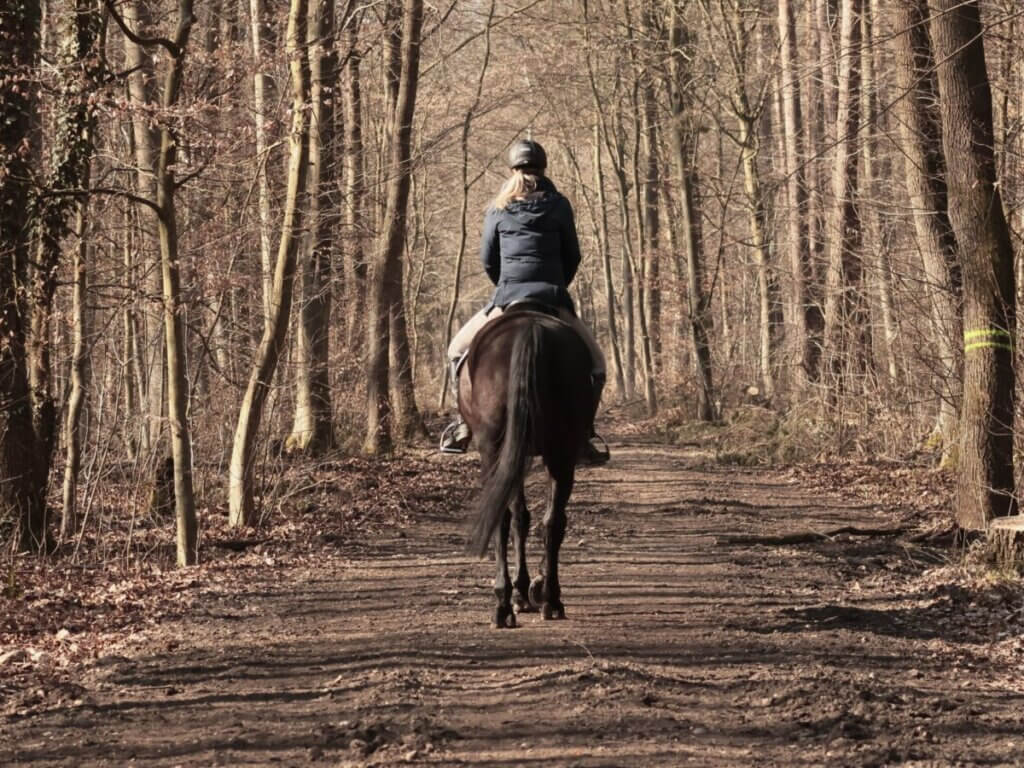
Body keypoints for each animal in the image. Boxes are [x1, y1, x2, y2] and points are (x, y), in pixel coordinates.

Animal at [460, 303, 596, 628]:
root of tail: (530, 327)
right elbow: (524, 517)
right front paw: (530, 588)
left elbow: (517, 517)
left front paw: (522, 592)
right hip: (560, 451)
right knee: (553, 521)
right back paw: (550, 601)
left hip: (499, 449)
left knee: (506, 517)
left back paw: (506, 605)